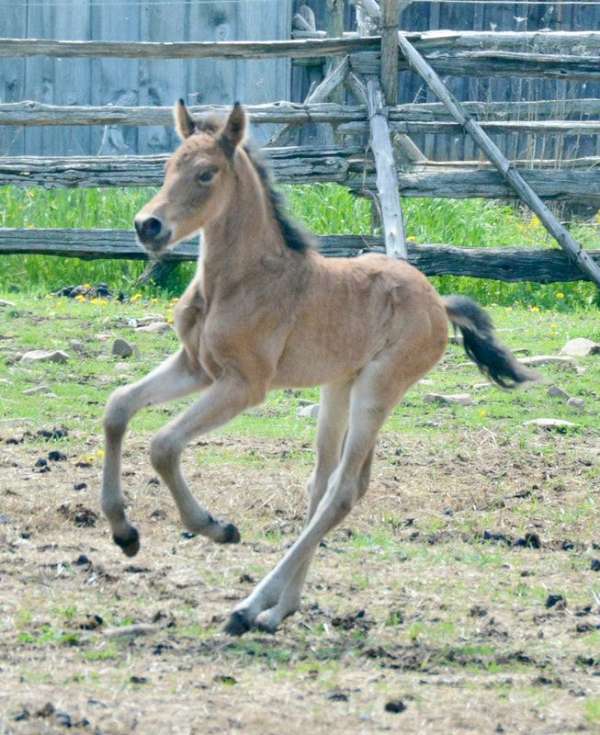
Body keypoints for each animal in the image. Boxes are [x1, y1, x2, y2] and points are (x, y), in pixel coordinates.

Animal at [101, 100, 535, 635]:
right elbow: (118, 407)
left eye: (206, 173)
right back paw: (276, 609)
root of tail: (439, 302)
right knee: (324, 483)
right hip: (338, 386)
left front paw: (216, 528)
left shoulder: (243, 384)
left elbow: (163, 445)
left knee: (344, 491)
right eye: (167, 167)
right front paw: (124, 532)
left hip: (378, 388)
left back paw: (248, 608)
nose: (149, 226)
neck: (239, 281)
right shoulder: (195, 366)